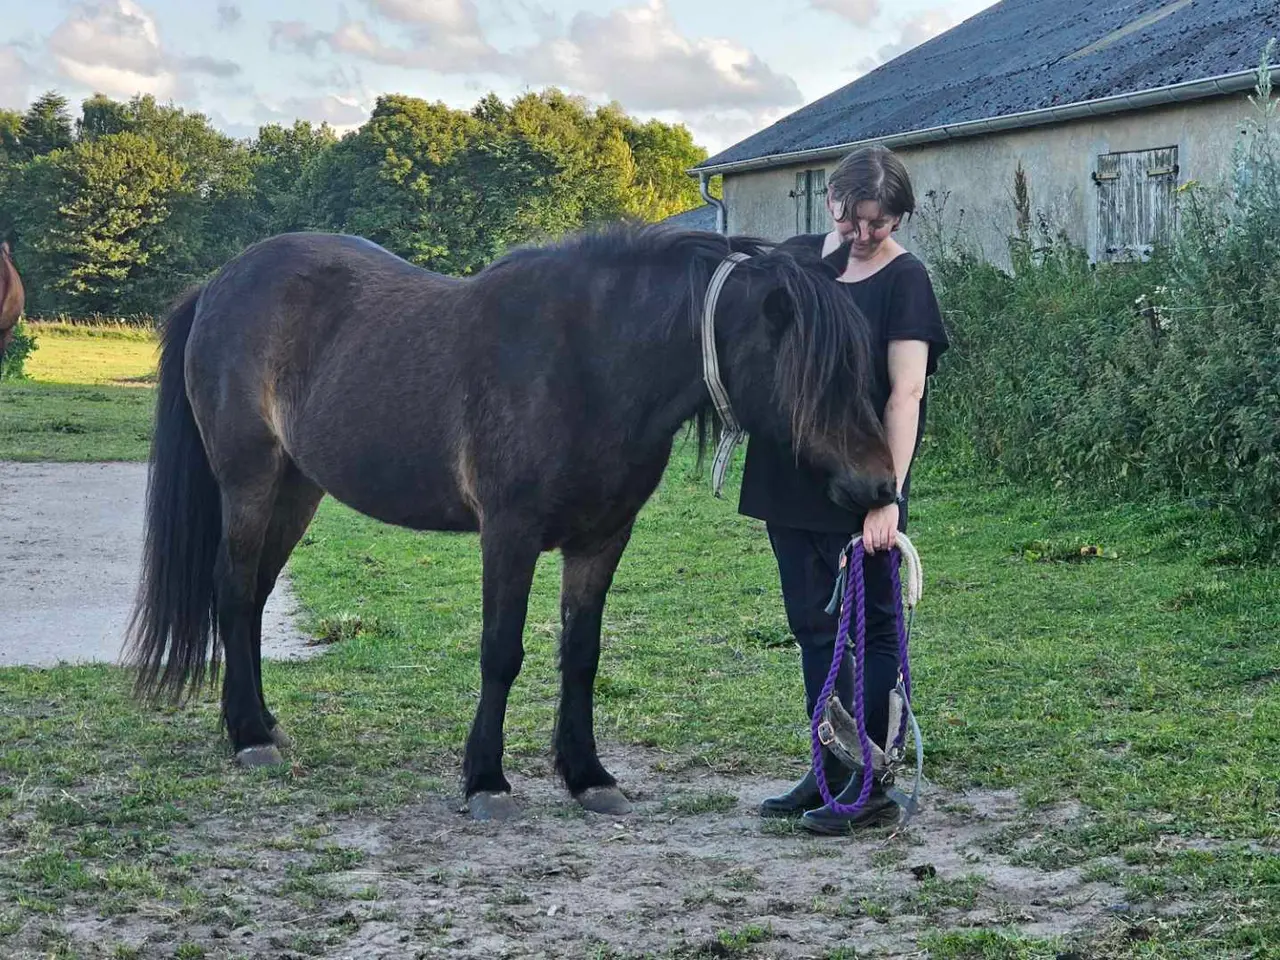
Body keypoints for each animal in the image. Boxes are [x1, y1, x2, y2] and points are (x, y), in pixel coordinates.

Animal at [125, 223, 898, 820]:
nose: (879, 485)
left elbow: (580, 654)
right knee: (232, 593)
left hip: (296, 490)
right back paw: (247, 737)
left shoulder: (602, 540)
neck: (589, 364)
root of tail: (221, 283)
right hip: (250, 483)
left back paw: (262, 724)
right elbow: (501, 652)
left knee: (251, 599)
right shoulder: (509, 533)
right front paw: (486, 781)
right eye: (818, 372)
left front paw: (588, 777)